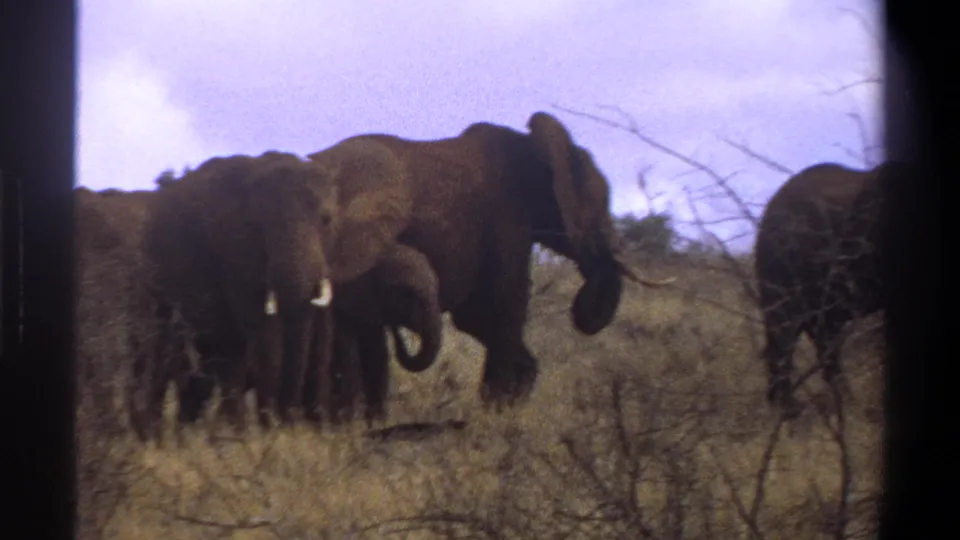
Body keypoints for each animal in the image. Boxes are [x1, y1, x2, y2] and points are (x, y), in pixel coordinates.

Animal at [302, 111, 675, 418]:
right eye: (599, 205)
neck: (531, 145)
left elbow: (477, 318)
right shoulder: (507, 222)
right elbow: (496, 310)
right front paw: (497, 417)